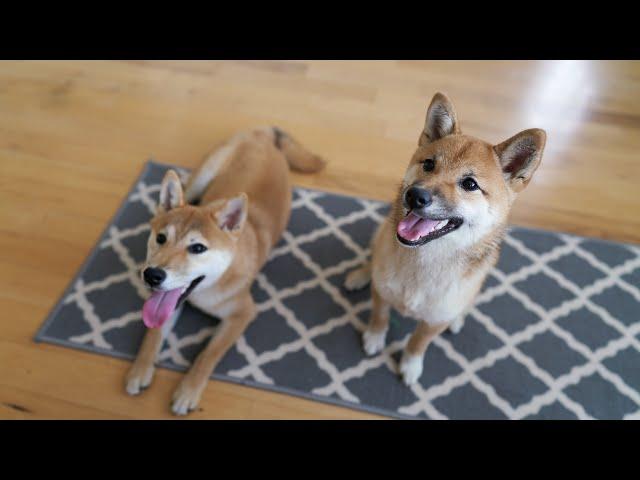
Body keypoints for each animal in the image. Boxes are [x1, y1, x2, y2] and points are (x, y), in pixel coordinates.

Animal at [125, 125, 324, 414]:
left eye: (197, 248)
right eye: (161, 238)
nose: (152, 275)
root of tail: (263, 136)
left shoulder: (242, 313)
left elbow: (208, 355)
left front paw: (188, 391)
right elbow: (153, 334)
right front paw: (140, 370)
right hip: (204, 174)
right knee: (188, 189)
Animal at [344, 93, 544, 386]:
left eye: (470, 184)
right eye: (429, 164)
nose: (415, 196)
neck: (426, 259)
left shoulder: (434, 322)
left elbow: (418, 342)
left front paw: (410, 365)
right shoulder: (382, 294)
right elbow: (380, 315)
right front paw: (374, 337)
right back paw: (360, 275)